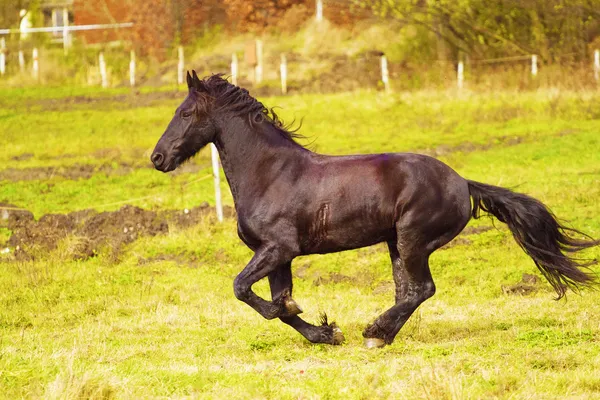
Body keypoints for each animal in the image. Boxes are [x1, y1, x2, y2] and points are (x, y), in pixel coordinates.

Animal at [150, 72, 596, 346]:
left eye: (185, 113)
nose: (157, 158)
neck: (270, 173)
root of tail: (463, 183)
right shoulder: (278, 256)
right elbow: (279, 305)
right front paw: (325, 333)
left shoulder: (279, 248)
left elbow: (245, 290)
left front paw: (320, 323)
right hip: (396, 244)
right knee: (409, 291)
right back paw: (381, 334)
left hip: (413, 240)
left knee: (421, 289)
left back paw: (375, 331)